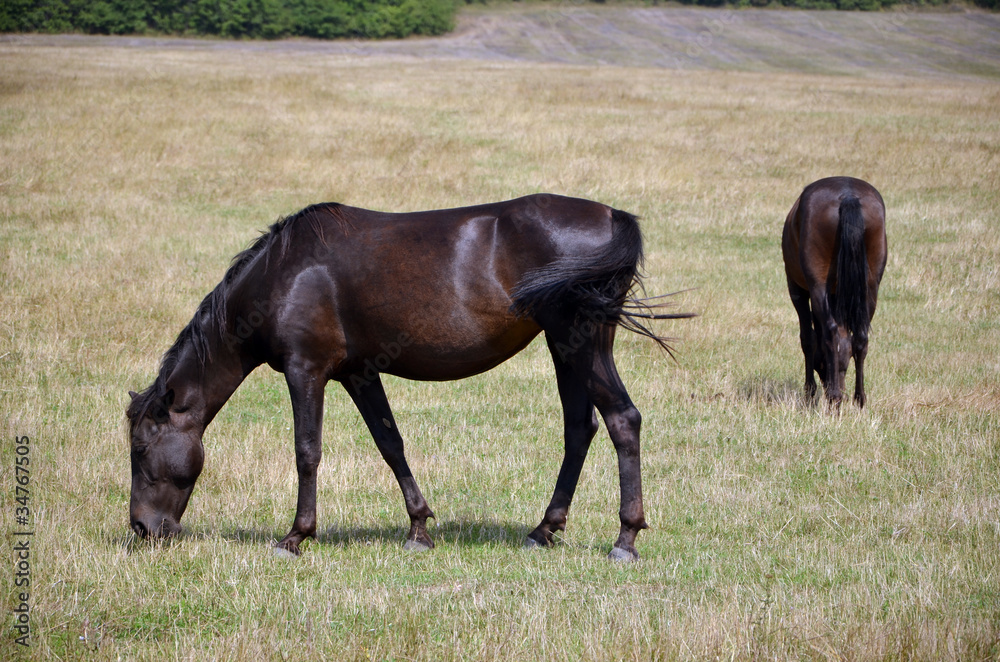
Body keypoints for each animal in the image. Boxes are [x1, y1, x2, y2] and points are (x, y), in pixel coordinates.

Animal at [126, 194, 691, 562]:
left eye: (139, 449)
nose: (142, 528)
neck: (285, 271)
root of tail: (611, 215)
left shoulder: (305, 371)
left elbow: (307, 452)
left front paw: (296, 536)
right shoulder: (359, 374)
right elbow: (390, 443)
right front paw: (418, 527)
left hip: (579, 341)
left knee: (622, 420)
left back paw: (625, 538)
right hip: (568, 347)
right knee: (581, 428)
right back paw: (544, 530)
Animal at [781, 177, 888, 408]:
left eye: (820, 365)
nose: (833, 383)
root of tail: (848, 196)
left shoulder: (797, 290)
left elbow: (808, 338)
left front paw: (809, 392)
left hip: (816, 285)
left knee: (830, 331)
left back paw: (834, 398)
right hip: (870, 287)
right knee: (860, 337)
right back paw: (859, 398)